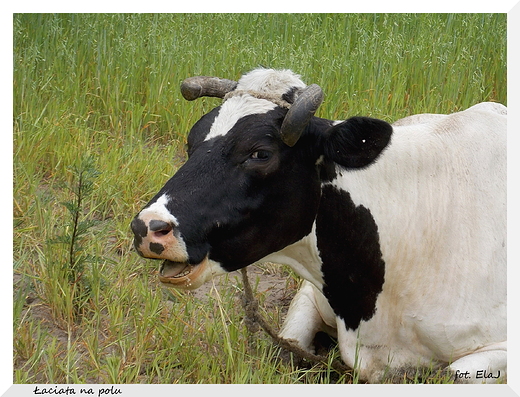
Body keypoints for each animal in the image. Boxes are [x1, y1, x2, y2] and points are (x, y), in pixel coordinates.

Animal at [131, 68, 508, 384]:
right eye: (191, 143)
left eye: (260, 153)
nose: (147, 227)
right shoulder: (312, 292)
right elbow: (287, 347)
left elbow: (454, 375)